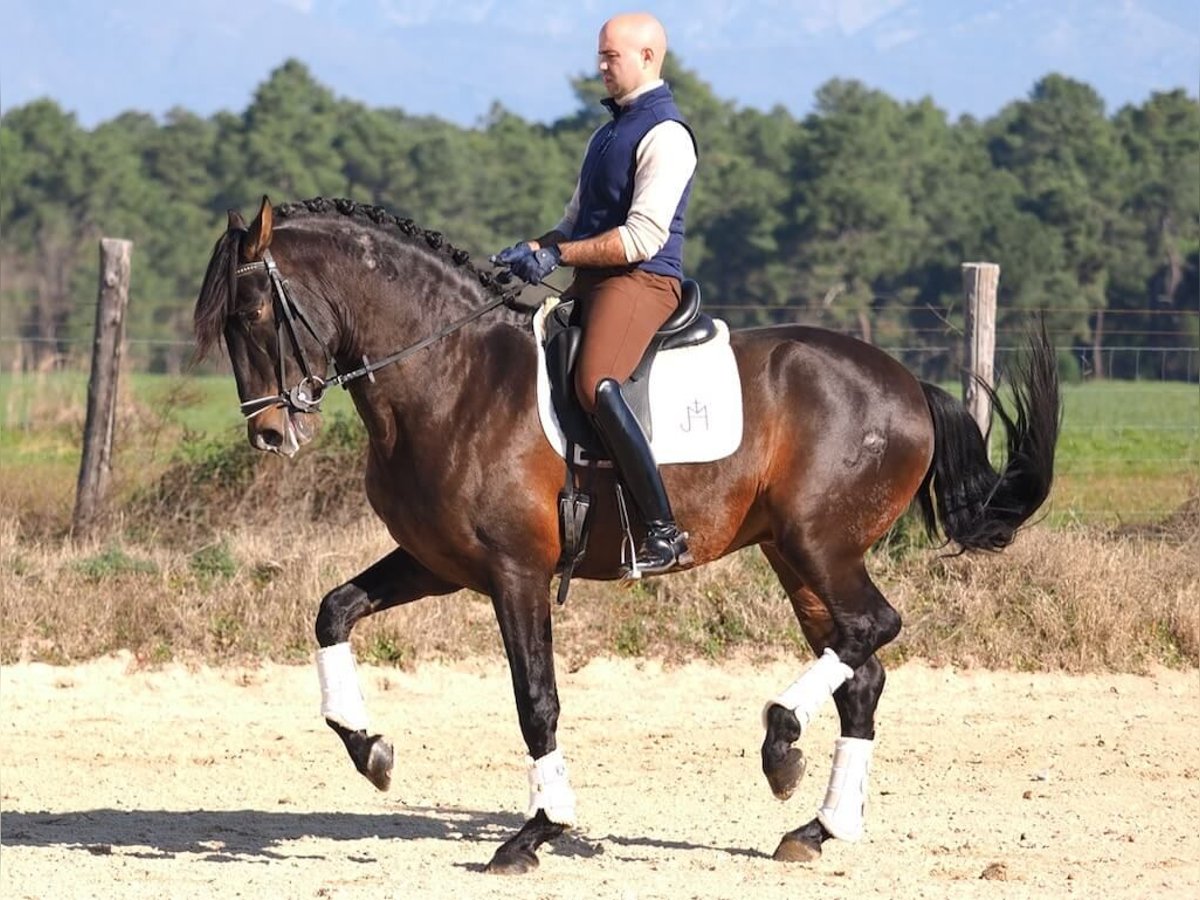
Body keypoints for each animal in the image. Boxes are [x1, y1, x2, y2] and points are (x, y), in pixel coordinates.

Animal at [194, 195, 1060, 873]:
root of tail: (907, 382)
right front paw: (368, 748)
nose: (269, 435)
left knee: (874, 630)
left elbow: (536, 701)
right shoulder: (436, 562)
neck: (451, 376)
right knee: (861, 669)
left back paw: (781, 744)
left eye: (255, 314)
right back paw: (817, 825)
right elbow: (332, 611)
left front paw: (537, 832)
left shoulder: (515, 572)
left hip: (823, 545)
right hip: (795, 555)